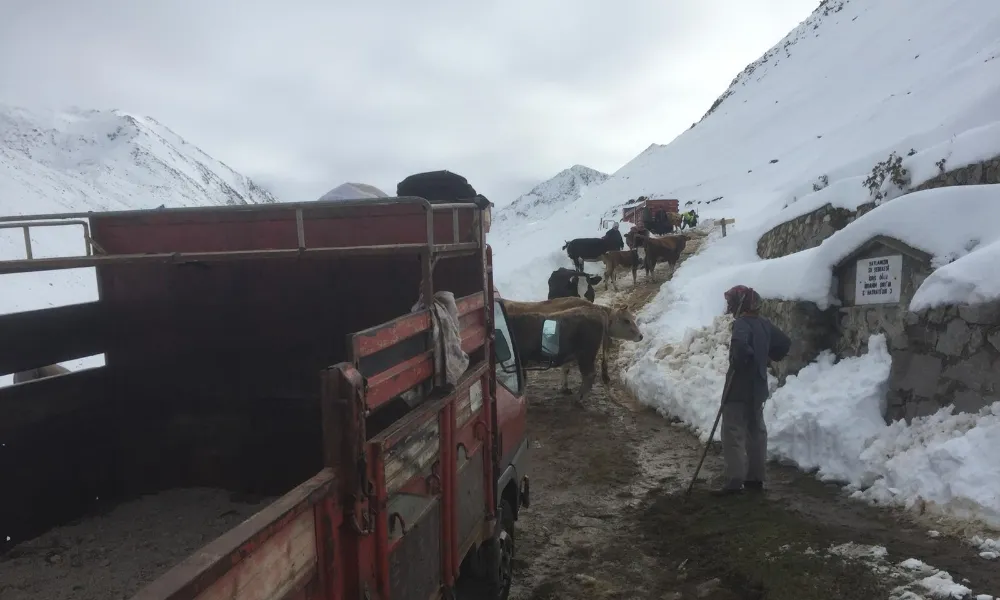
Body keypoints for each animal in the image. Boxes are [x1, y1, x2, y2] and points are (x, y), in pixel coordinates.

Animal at [504, 298, 644, 404]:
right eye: (626, 320)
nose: (641, 336)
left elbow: (565, 369)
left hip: (585, 355)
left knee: (589, 374)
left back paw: (579, 398)